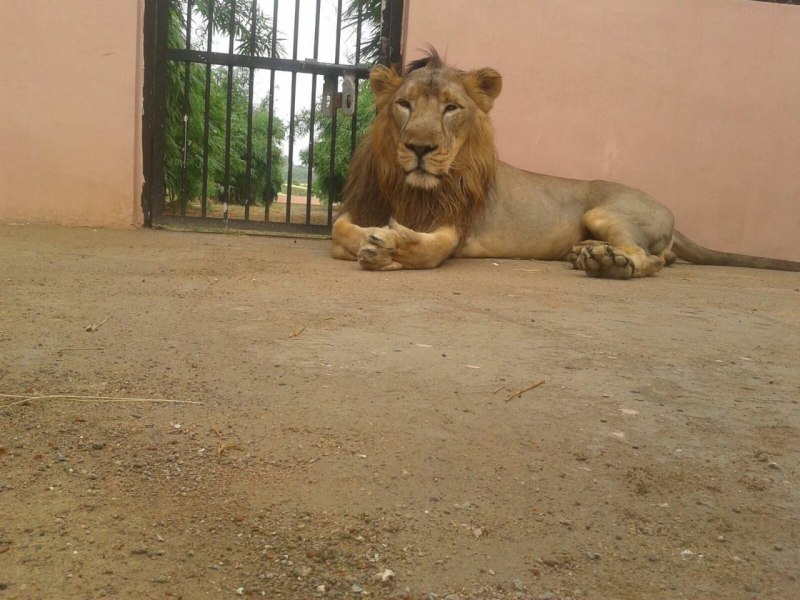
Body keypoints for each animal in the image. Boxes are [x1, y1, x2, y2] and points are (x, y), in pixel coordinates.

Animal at [331, 49, 800, 278]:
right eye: (405, 105)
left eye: (451, 108)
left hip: (604, 211)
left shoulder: (457, 227)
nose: (420, 148)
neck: (413, 189)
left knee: (650, 260)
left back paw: (610, 264)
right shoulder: (359, 207)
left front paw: (388, 247)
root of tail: (668, 210)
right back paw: (588, 254)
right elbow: (340, 229)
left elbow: (431, 249)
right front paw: (372, 239)